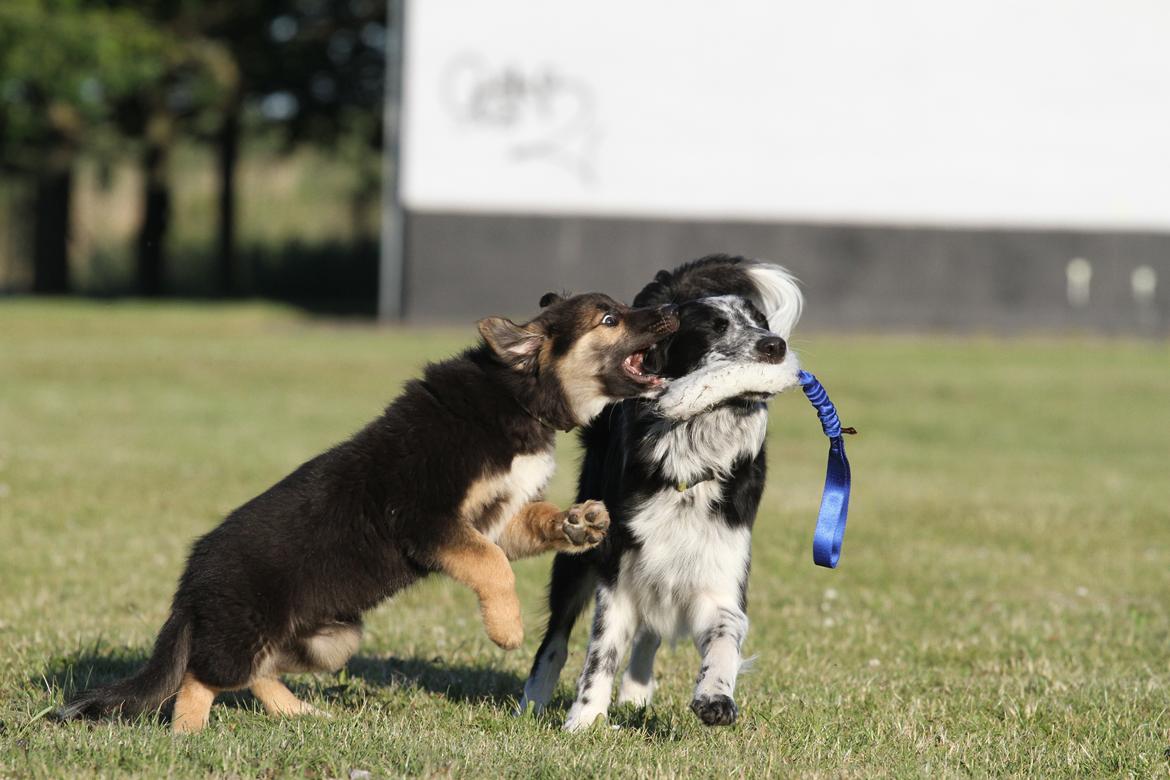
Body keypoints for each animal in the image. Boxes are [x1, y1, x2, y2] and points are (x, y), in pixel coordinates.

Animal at [57, 291, 678, 734]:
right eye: (609, 318)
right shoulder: (428, 519)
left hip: (332, 639)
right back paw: (189, 736)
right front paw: (507, 629)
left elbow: (522, 532)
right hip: (245, 630)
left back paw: (298, 714)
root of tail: (189, 585)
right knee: (200, 677)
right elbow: (492, 566)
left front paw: (579, 522)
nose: (671, 312)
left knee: (256, 674)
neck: (518, 395)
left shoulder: (494, 519)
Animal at [521, 254, 804, 734]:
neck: (689, 455)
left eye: (760, 322)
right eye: (715, 327)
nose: (775, 347)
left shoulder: (719, 572)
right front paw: (585, 718)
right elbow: (601, 652)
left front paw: (714, 698)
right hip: (580, 553)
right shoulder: (617, 571)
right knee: (556, 638)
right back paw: (534, 699)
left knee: (651, 630)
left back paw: (636, 694)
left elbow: (725, 636)